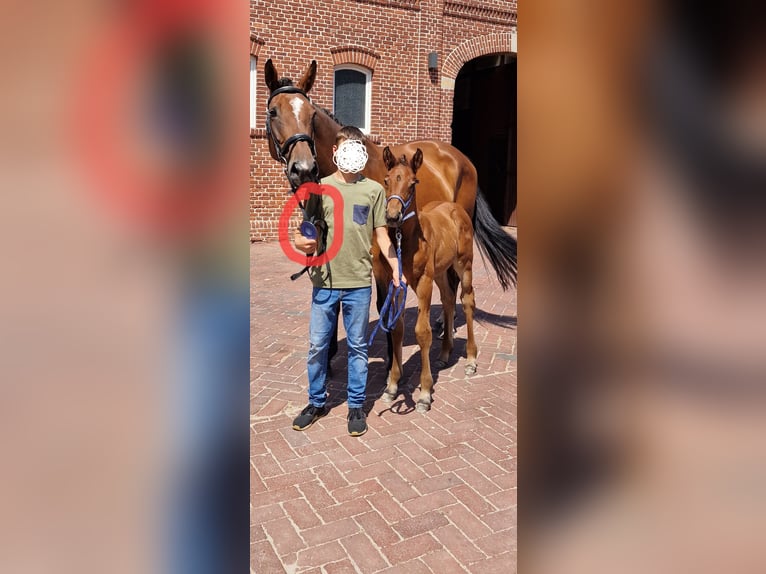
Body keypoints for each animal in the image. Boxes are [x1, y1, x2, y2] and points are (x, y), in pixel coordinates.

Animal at [262, 59, 515, 364]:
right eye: (273, 112)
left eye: (311, 115)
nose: (303, 169)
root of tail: (463, 159)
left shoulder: (379, 257)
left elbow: (383, 303)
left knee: (454, 283)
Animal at [381, 147, 478, 412]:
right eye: (387, 179)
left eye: (413, 182)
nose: (393, 216)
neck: (409, 241)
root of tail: (455, 208)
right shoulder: (397, 283)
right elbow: (397, 328)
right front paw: (392, 386)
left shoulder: (424, 281)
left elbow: (422, 332)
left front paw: (424, 392)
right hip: (442, 272)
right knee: (448, 299)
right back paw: (444, 355)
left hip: (463, 264)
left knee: (467, 300)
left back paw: (471, 359)